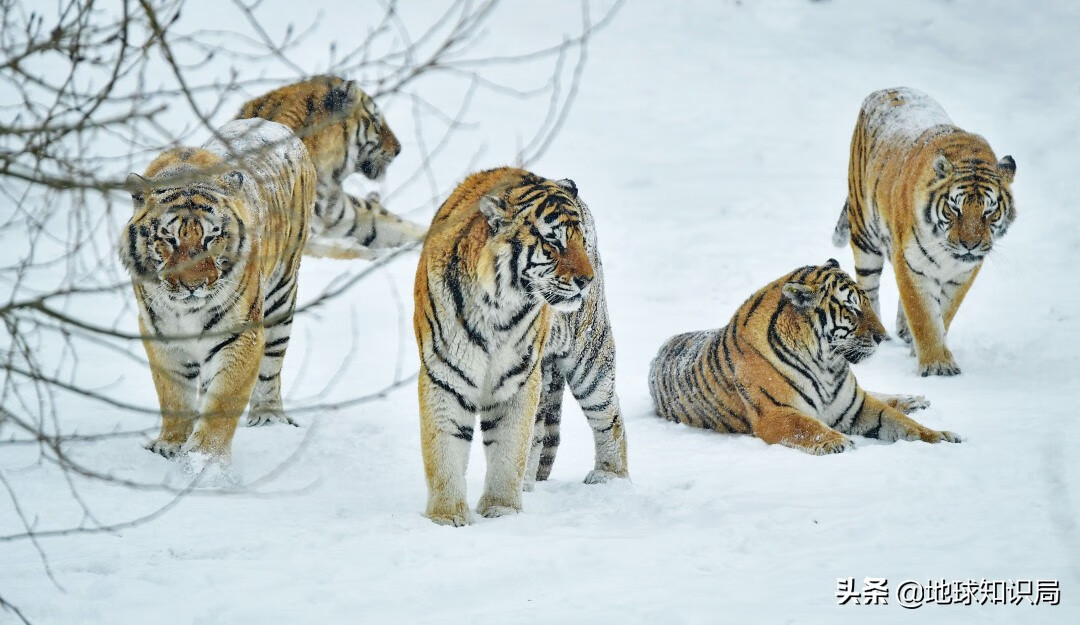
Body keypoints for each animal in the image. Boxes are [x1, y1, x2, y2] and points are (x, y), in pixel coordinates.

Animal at [122, 118, 317, 459]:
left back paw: (268, 416)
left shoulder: (240, 334)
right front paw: (170, 444)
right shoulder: (160, 334)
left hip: (281, 294)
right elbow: (174, 395)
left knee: (271, 365)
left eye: (211, 238)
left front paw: (205, 459)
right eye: (168, 239)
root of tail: (272, 123)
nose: (193, 285)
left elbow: (222, 403)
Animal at [236, 76, 425, 261]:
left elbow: (400, 228)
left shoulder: (352, 218)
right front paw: (378, 255)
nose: (399, 149)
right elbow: (339, 250)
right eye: (375, 121)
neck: (328, 181)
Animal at [412, 167, 630, 528]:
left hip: (589, 356)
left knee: (609, 418)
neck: (496, 308)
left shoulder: (517, 377)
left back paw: (610, 478)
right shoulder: (445, 374)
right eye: (554, 242)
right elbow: (443, 449)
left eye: (580, 241)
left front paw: (502, 511)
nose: (586, 280)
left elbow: (508, 448)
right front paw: (447, 517)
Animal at [643, 259, 959, 455]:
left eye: (867, 304)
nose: (883, 336)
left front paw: (941, 436)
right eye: (852, 309)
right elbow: (809, 426)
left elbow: (903, 423)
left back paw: (914, 399)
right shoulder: (777, 413)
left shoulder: (856, 406)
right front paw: (838, 442)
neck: (826, 364)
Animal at [829, 86, 1015, 375]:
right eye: (954, 209)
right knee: (868, 287)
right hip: (864, 236)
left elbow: (944, 313)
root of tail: (888, 89)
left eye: (989, 211)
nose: (970, 245)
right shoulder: (910, 263)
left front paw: (926, 351)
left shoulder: (962, 274)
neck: (948, 257)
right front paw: (936, 364)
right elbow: (923, 316)